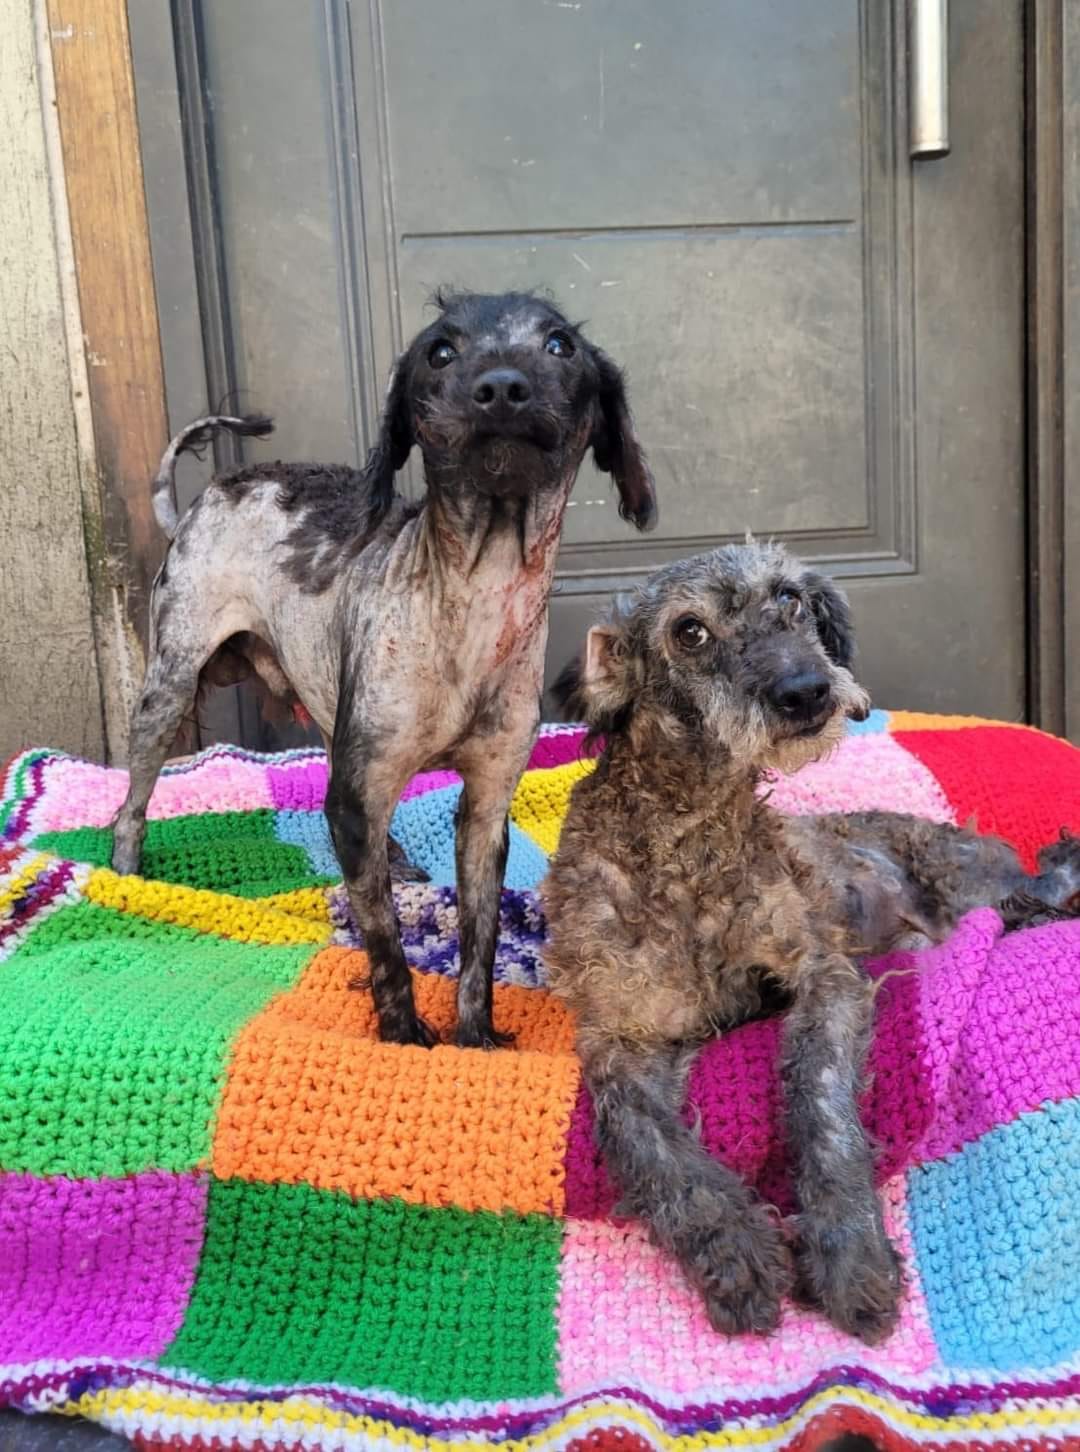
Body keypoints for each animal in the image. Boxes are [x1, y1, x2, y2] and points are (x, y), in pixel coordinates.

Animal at [109, 288, 653, 1051]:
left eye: (559, 346)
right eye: (441, 352)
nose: (502, 387)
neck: (475, 597)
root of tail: (207, 495)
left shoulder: (487, 805)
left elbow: (480, 941)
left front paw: (476, 1039)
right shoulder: (363, 787)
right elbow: (385, 939)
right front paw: (403, 1035)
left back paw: (388, 854)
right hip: (170, 686)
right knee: (130, 807)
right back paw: (129, 880)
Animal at [542, 540, 1080, 1341]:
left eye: (791, 599)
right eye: (688, 632)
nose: (806, 691)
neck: (689, 834)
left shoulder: (825, 972)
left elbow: (817, 1090)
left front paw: (847, 1246)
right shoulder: (618, 1038)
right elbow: (653, 1145)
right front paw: (731, 1247)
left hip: (968, 882)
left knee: (1040, 891)